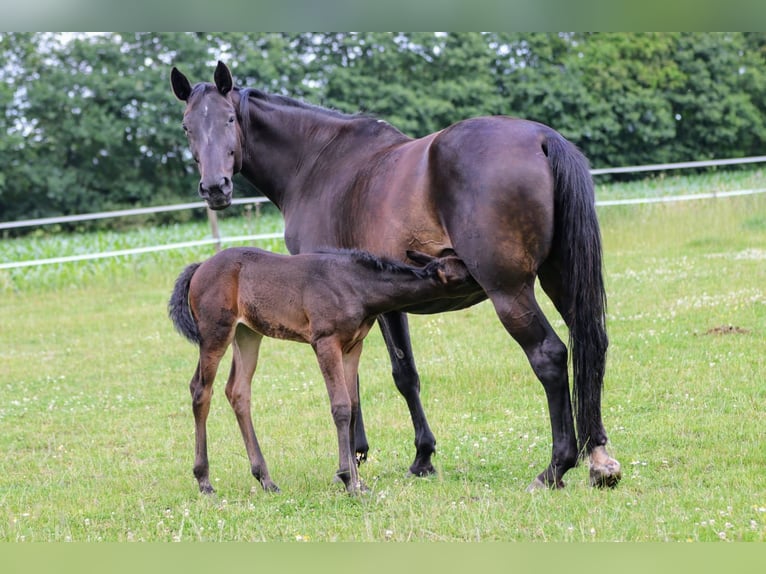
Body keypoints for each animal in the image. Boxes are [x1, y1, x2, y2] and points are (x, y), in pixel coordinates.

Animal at [171, 248, 476, 496]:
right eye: (465, 272)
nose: (484, 275)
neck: (355, 284)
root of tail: (199, 267)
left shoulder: (353, 346)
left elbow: (353, 405)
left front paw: (358, 481)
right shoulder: (325, 342)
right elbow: (340, 406)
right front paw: (349, 480)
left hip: (247, 333)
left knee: (237, 391)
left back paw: (266, 479)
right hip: (216, 332)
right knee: (201, 390)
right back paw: (204, 481)